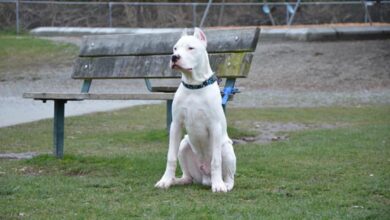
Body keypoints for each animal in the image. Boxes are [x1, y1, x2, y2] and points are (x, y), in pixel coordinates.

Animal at [155, 27, 235, 192]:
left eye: (190, 48)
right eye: (175, 48)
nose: (174, 57)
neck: (194, 85)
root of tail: (205, 177)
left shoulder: (215, 126)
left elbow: (216, 161)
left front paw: (219, 186)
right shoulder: (176, 125)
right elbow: (170, 157)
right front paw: (165, 180)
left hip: (226, 148)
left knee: (229, 176)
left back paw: (223, 183)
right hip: (184, 144)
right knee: (188, 177)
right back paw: (176, 180)